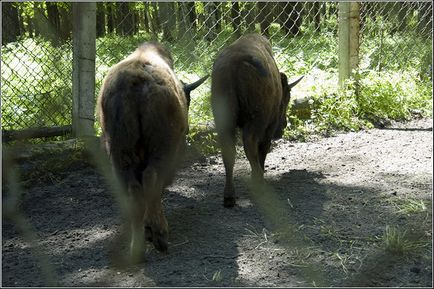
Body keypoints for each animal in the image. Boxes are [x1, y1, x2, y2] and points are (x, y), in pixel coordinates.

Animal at [97, 41, 209, 260]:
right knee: (151, 179)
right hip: (160, 149)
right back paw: (159, 235)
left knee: (133, 190)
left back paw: (138, 247)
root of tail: (134, 81)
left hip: (119, 153)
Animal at [210, 33, 302, 207]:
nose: (283, 126)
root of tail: (235, 63)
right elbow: (263, 150)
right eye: (286, 98)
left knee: (229, 152)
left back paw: (229, 197)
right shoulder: (268, 128)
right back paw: (258, 182)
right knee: (251, 145)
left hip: (224, 122)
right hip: (256, 122)